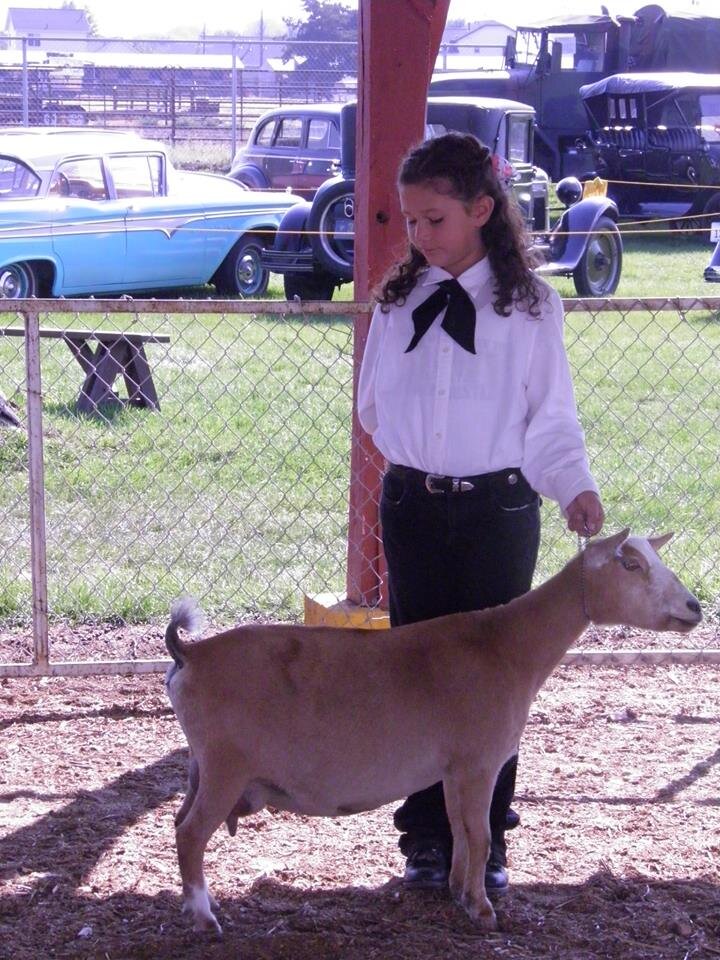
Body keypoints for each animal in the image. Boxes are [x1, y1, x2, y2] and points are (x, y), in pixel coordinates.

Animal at [165, 528, 704, 932]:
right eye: (630, 565)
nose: (694, 607)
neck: (506, 645)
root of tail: (191, 654)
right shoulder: (481, 761)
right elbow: (481, 834)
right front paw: (483, 911)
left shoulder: (453, 768)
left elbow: (461, 830)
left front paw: (459, 893)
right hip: (226, 765)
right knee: (191, 833)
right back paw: (205, 919)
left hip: (201, 764)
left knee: (179, 822)